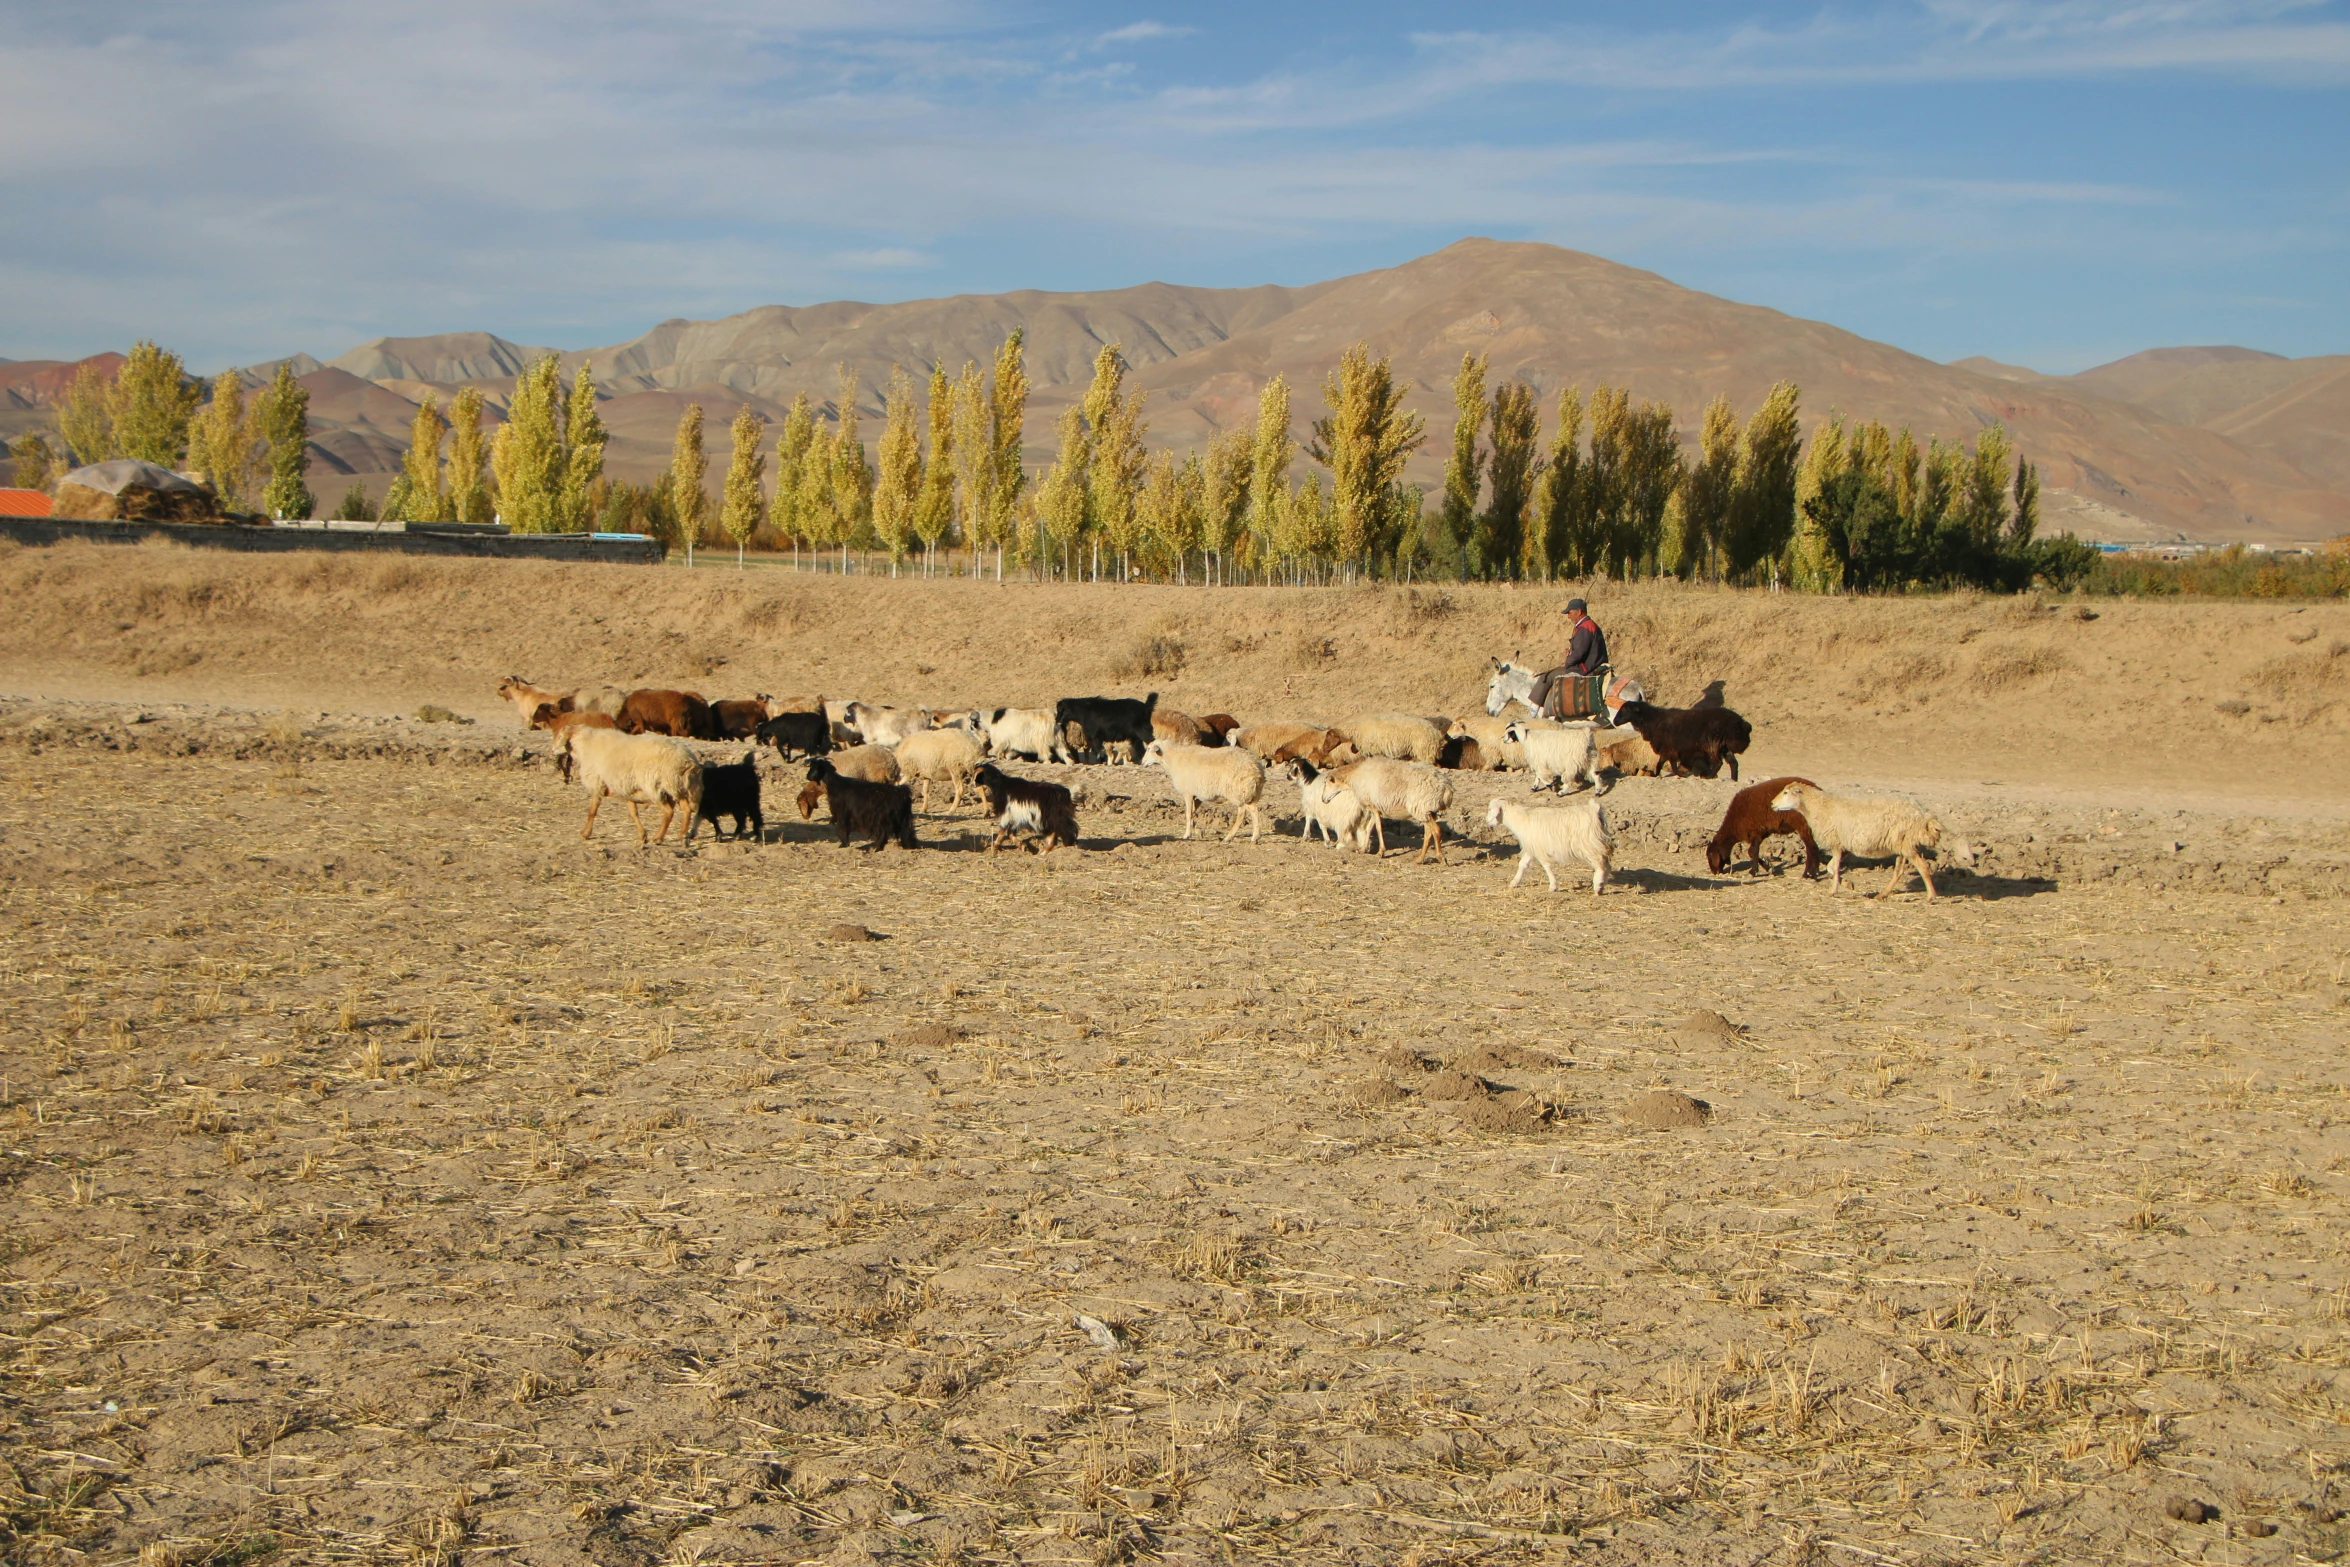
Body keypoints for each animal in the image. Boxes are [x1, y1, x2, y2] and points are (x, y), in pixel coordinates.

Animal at [554, 728, 700, 845]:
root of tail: (687, 760)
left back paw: (658, 838)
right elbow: (633, 813)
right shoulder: (627, 790)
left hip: (656, 787)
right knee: (686, 810)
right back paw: (682, 835)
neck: (585, 746)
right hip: (676, 787)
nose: (553, 749)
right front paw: (642, 835)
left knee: (668, 812)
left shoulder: (597, 783)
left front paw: (585, 833)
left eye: (560, 735)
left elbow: (592, 812)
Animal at [1485, 798, 1616, 892]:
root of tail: (1594, 809)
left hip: (1589, 843)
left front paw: (1553, 886)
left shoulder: (1539, 847)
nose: (1487, 822)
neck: (1520, 819)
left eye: (1490, 809)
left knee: (1601, 864)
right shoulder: (1531, 847)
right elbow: (1523, 865)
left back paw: (1598, 885)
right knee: (1607, 865)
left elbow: (1546, 866)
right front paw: (1514, 882)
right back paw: (1601, 886)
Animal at [1767, 779, 1955, 902]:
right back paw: (1882, 895)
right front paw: (1846, 884)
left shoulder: (1836, 841)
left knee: (1923, 867)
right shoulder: (1841, 844)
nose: (1772, 804)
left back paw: (1931, 896)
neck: (1819, 806)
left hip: (1906, 844)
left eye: (1786, 792)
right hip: (1902, 843)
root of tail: (1923, 814)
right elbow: (1831, 868)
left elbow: (1834, 867)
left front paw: (1833, 890)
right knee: (1899, 871)